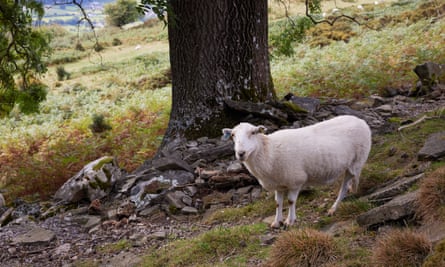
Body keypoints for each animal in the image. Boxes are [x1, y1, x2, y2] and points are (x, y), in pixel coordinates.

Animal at [222, 115, 372, 228]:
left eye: (253, 133)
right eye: (233, 135)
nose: (241, 153)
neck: (269, 151)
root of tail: (360, 120)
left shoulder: (295, 180)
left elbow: (290, 201)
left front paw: (290, 221)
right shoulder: (279, 184)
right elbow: (278, 203)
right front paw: (277, 222)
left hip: (356, 161)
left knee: (345, 185)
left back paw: (335, 207)